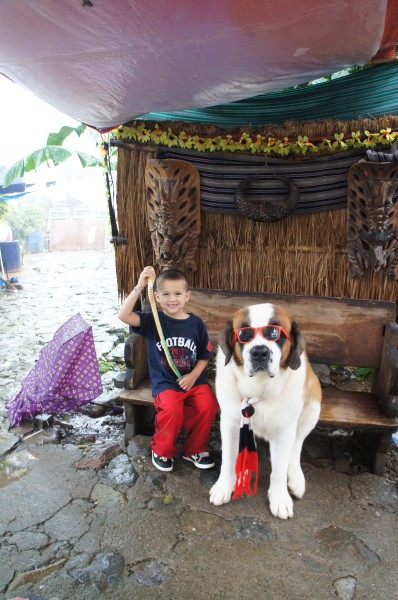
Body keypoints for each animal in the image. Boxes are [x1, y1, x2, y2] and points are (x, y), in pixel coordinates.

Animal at [210, 302, 322, 516]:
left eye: (274, 333)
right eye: (244, 334)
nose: (260, 352)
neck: (259, 387)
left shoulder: (285, 429)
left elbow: (279, 469)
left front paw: (279, 498)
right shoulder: (229, 421)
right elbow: (228, 457)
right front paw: (224, 486)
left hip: (313, 403)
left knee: (296, 445)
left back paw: (295, 477)